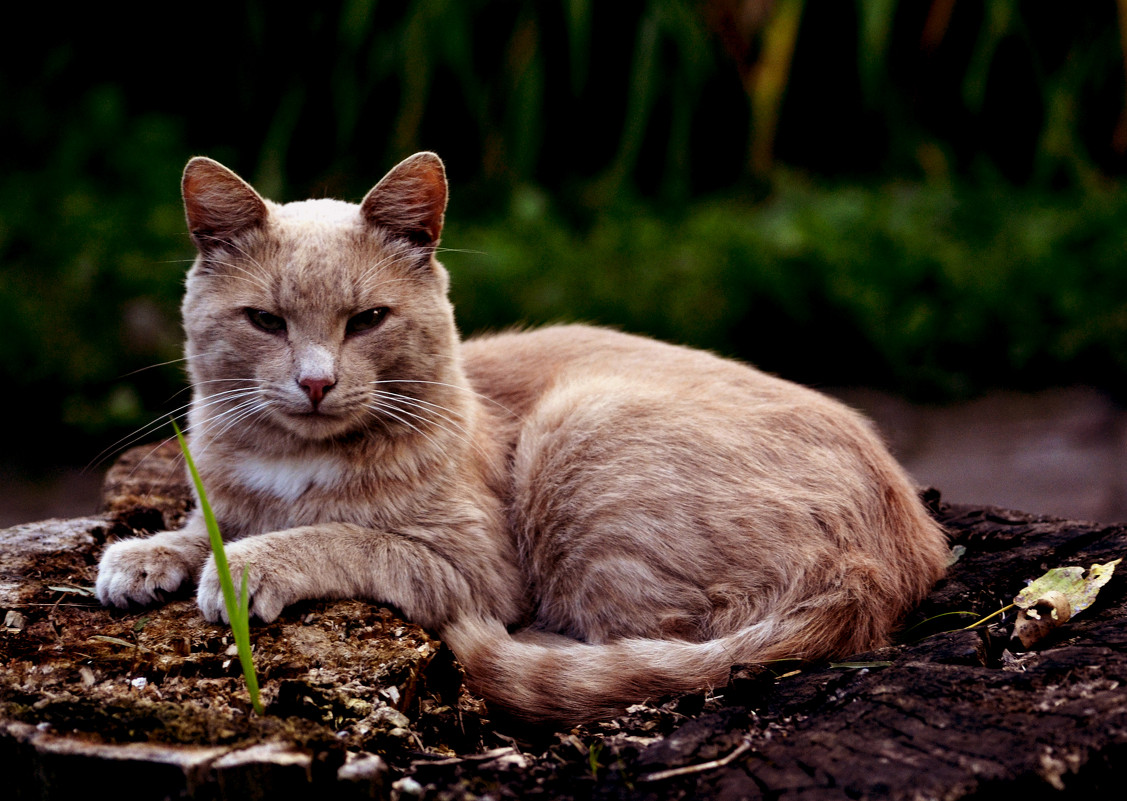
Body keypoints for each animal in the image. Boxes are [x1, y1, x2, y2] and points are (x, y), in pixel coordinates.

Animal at [94, 152, 951, 725]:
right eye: (265, 321)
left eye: (366, 320)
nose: (314, 382)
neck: (288, 463)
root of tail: (888, 560)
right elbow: (205, 522)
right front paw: (147, 554)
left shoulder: (472, 565)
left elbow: (341, 536)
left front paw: (248, 563)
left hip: (581, 430)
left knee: (646, 639)